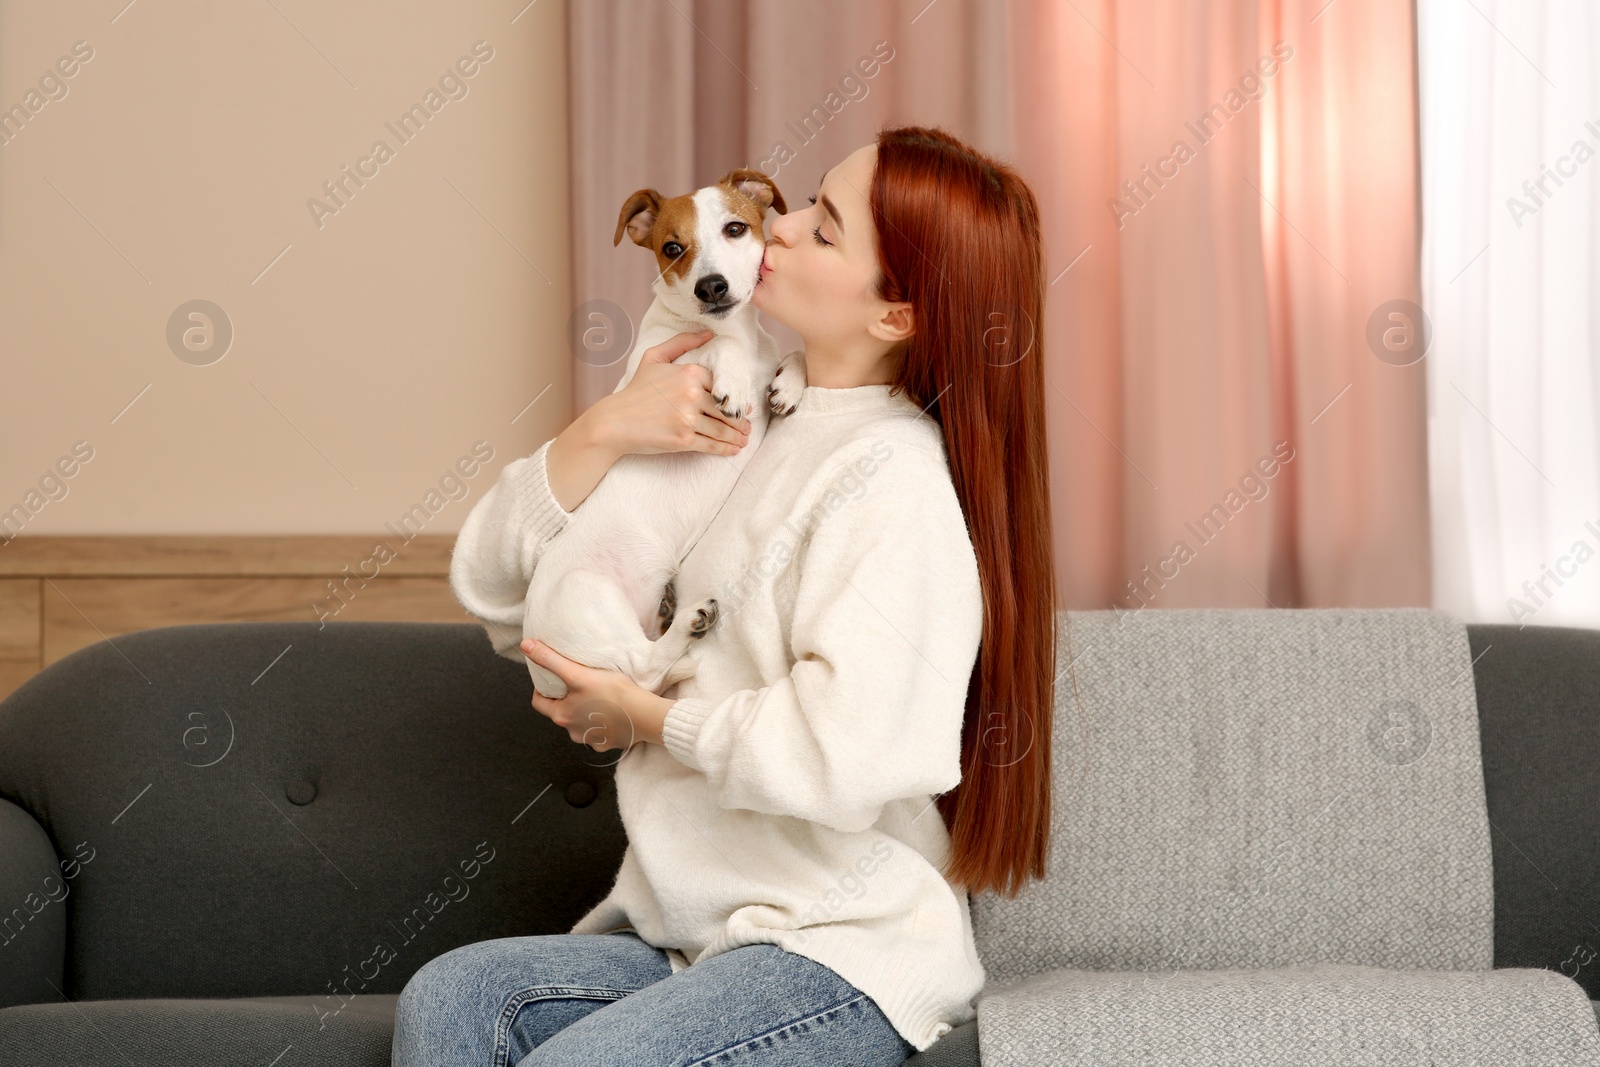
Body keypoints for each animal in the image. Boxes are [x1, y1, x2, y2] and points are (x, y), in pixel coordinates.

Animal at [521, 167, 806, 703]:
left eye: (736, 228)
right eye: (672, 248)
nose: (711, 287)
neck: (740, 334)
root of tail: (544, 676)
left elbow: (789, 355)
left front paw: (790, 383)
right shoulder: (660, 371)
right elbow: (714, 348)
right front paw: (734, 382)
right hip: (589, 596)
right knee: (642, 671)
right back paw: (690, 625)